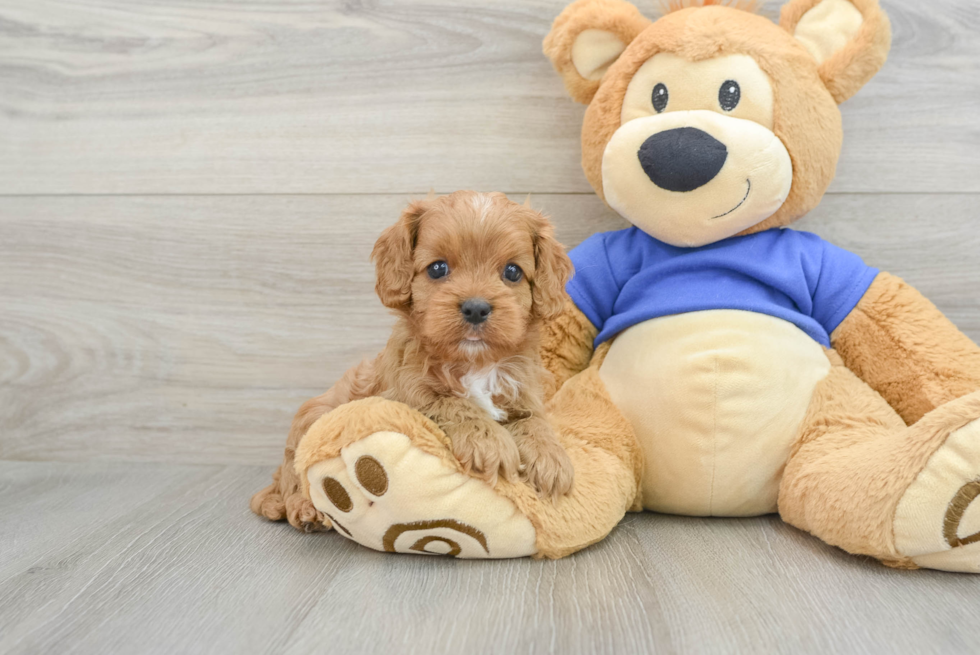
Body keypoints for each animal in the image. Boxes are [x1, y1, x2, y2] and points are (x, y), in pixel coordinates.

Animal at [362, 190, 576, 498]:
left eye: (513, 272)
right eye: (438, 268)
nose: (476, 308)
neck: (476, 364)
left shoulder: (526, 395)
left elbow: (534, 421)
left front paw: (551, 458)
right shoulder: (404, 392)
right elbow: (449, 402)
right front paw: (490, 442)